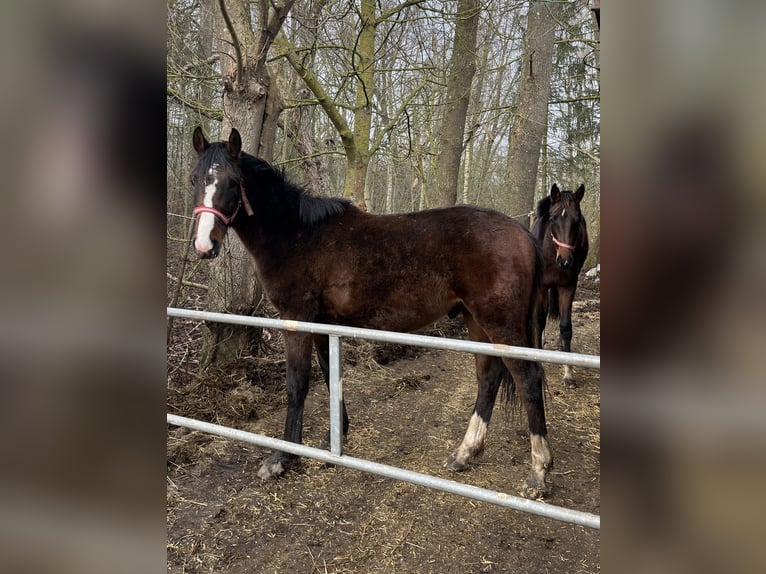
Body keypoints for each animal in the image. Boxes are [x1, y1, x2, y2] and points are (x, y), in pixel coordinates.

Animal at [190, 128, 556, 498]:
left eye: (233, 182)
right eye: (195, 179)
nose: (204, 246)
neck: (296, 234)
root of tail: (520, 232)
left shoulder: (297, 320)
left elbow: (297, 383)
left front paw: (282, 458)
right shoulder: (324, 324)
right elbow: (331, 376)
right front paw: (334, 437)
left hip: (501, 324)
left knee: (527, 378)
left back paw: (539, 471)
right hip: (475, 320)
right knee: (488, 377)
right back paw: (464, 453)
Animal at [536, 184, 592, 392]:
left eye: (577, 221)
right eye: (553, 218)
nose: (566, 261)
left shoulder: (568, 286)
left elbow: (566, 326)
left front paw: (568, 373)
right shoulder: (542, 286)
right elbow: (539, 320)